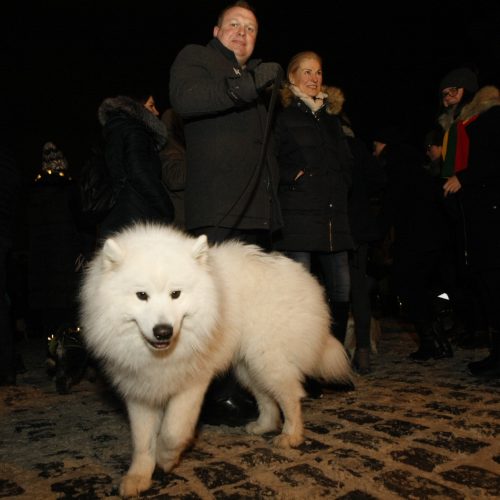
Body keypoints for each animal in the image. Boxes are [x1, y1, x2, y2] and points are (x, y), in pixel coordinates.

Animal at [79, 223, 352, 496]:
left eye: (175, 294)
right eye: (141, 295)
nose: (163, 331)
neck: (161, 355)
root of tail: (304, 276)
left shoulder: (191, 385)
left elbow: (172, 431)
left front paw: (166, 459)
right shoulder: (139, 392)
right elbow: (142, 442)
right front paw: (138, 478)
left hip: (268, 361)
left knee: (291, 398)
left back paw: (291, 436)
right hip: (248, 367)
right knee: (267, 400)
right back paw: (263, 426)